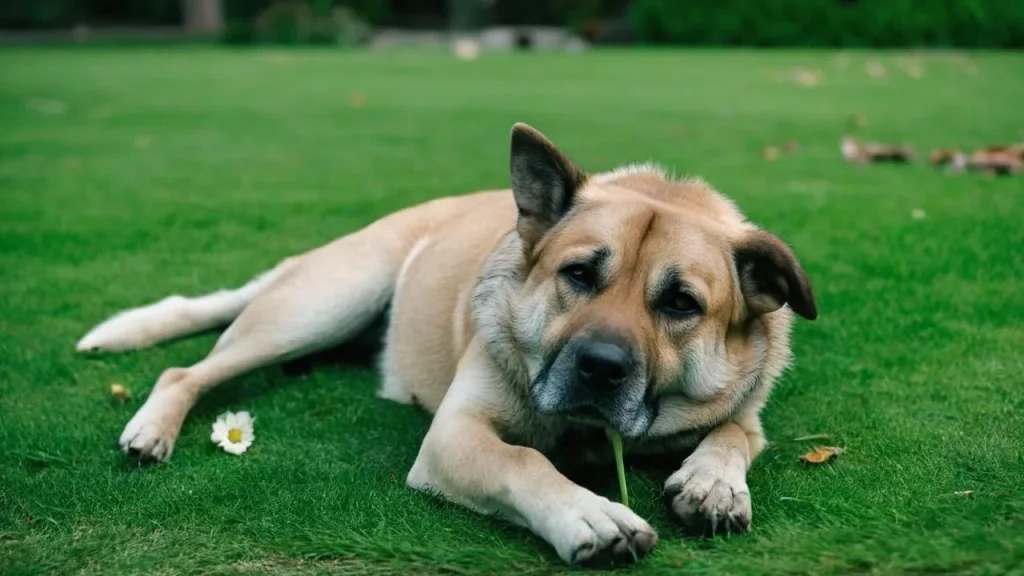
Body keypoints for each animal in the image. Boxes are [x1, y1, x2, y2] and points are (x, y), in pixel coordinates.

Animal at [77, 124, 815, 565]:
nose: (600, 368)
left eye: (681, 303)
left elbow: (736, 433)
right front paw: (588, 514)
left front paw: (714, 481)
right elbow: (524, 463)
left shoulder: (743, 410)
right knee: (185, 371)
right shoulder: (455, 436)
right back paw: (153, 428)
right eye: (579, 274)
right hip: (317, 307)